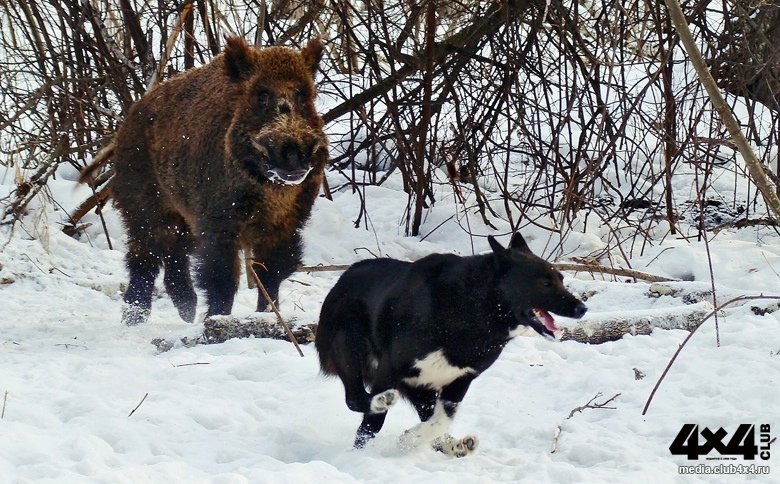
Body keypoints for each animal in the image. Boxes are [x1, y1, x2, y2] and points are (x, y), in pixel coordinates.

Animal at [315, 232, 587, 457]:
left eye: (561, 278)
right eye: (545, 283)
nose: (582, 308)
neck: (473, 307)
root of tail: (342, 279)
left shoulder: (459, 382)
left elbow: (441, 420)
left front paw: (413, 440)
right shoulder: (390, 368)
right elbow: (371, 425)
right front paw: (361, 455)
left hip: (420, 387)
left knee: (427, 416)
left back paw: (451, 444)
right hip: (350, 349)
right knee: (355, 398)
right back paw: (380, 404)